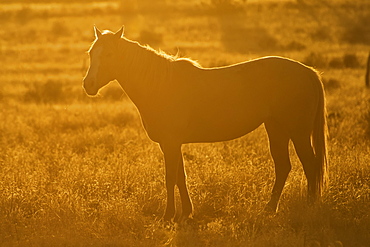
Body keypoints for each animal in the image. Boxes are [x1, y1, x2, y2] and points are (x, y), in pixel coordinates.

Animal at [82, 26, 328, 221]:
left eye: (110, 54)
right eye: (92, 53)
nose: (88, 84)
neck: (162, 85)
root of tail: (308, 72)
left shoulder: (171, 143)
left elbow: (170, 178)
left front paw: (168, 215)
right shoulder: (172, 144)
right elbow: (180, 177)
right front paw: (186, 213)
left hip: (298, 132)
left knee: (310, 165)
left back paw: (309, 207)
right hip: (276, 128)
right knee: (284, 167)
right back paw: (269, 209)